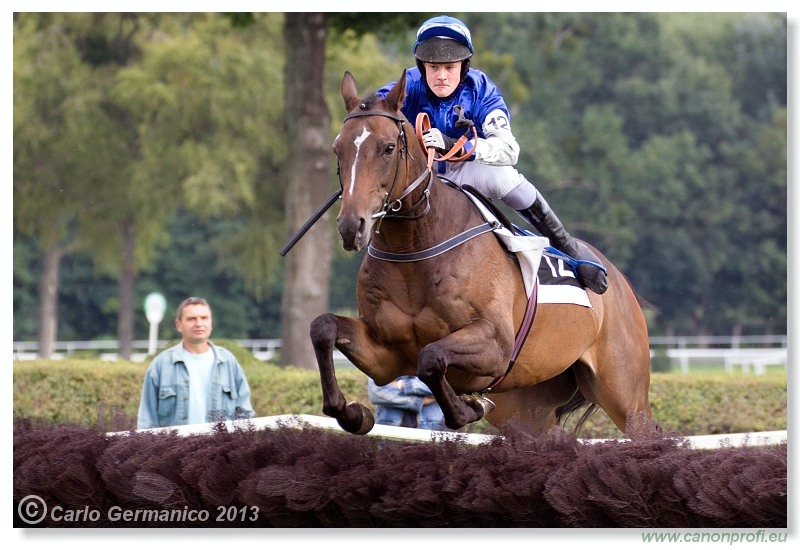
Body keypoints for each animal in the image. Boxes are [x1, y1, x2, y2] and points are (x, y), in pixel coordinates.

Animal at [310, 71, 652, 438]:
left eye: (388, 148)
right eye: (338, 149)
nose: (351, 225)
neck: (415, 251)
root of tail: (620, 284)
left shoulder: (496, 343)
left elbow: (430, 357)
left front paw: (469, 407)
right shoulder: (385, 356)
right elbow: (323, 327)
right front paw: (352, 412)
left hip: (625, 393)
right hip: (528, 406)